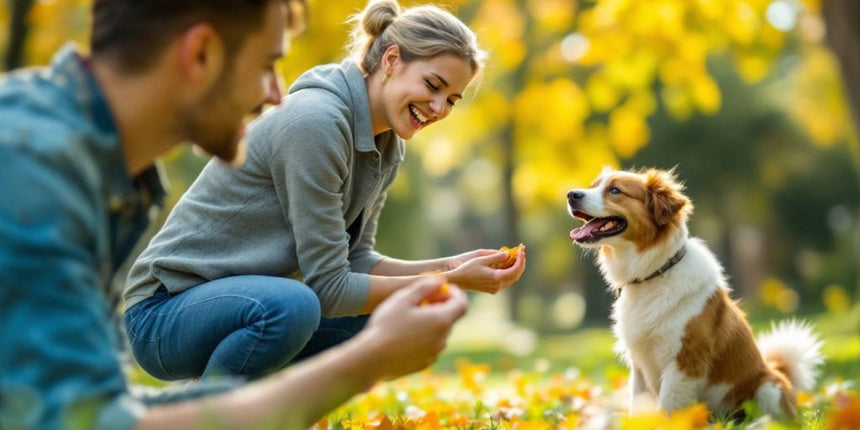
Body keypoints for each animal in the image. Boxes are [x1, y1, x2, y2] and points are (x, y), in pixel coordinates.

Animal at [568, 167, 824, 416]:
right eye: (592, 186)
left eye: (615, 190)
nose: (571, 194)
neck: (655, 272)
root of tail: (777, 370)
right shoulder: (639, 365)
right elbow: (637, 409)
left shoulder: (684, 363)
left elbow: (667, 410)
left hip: (768, 386)